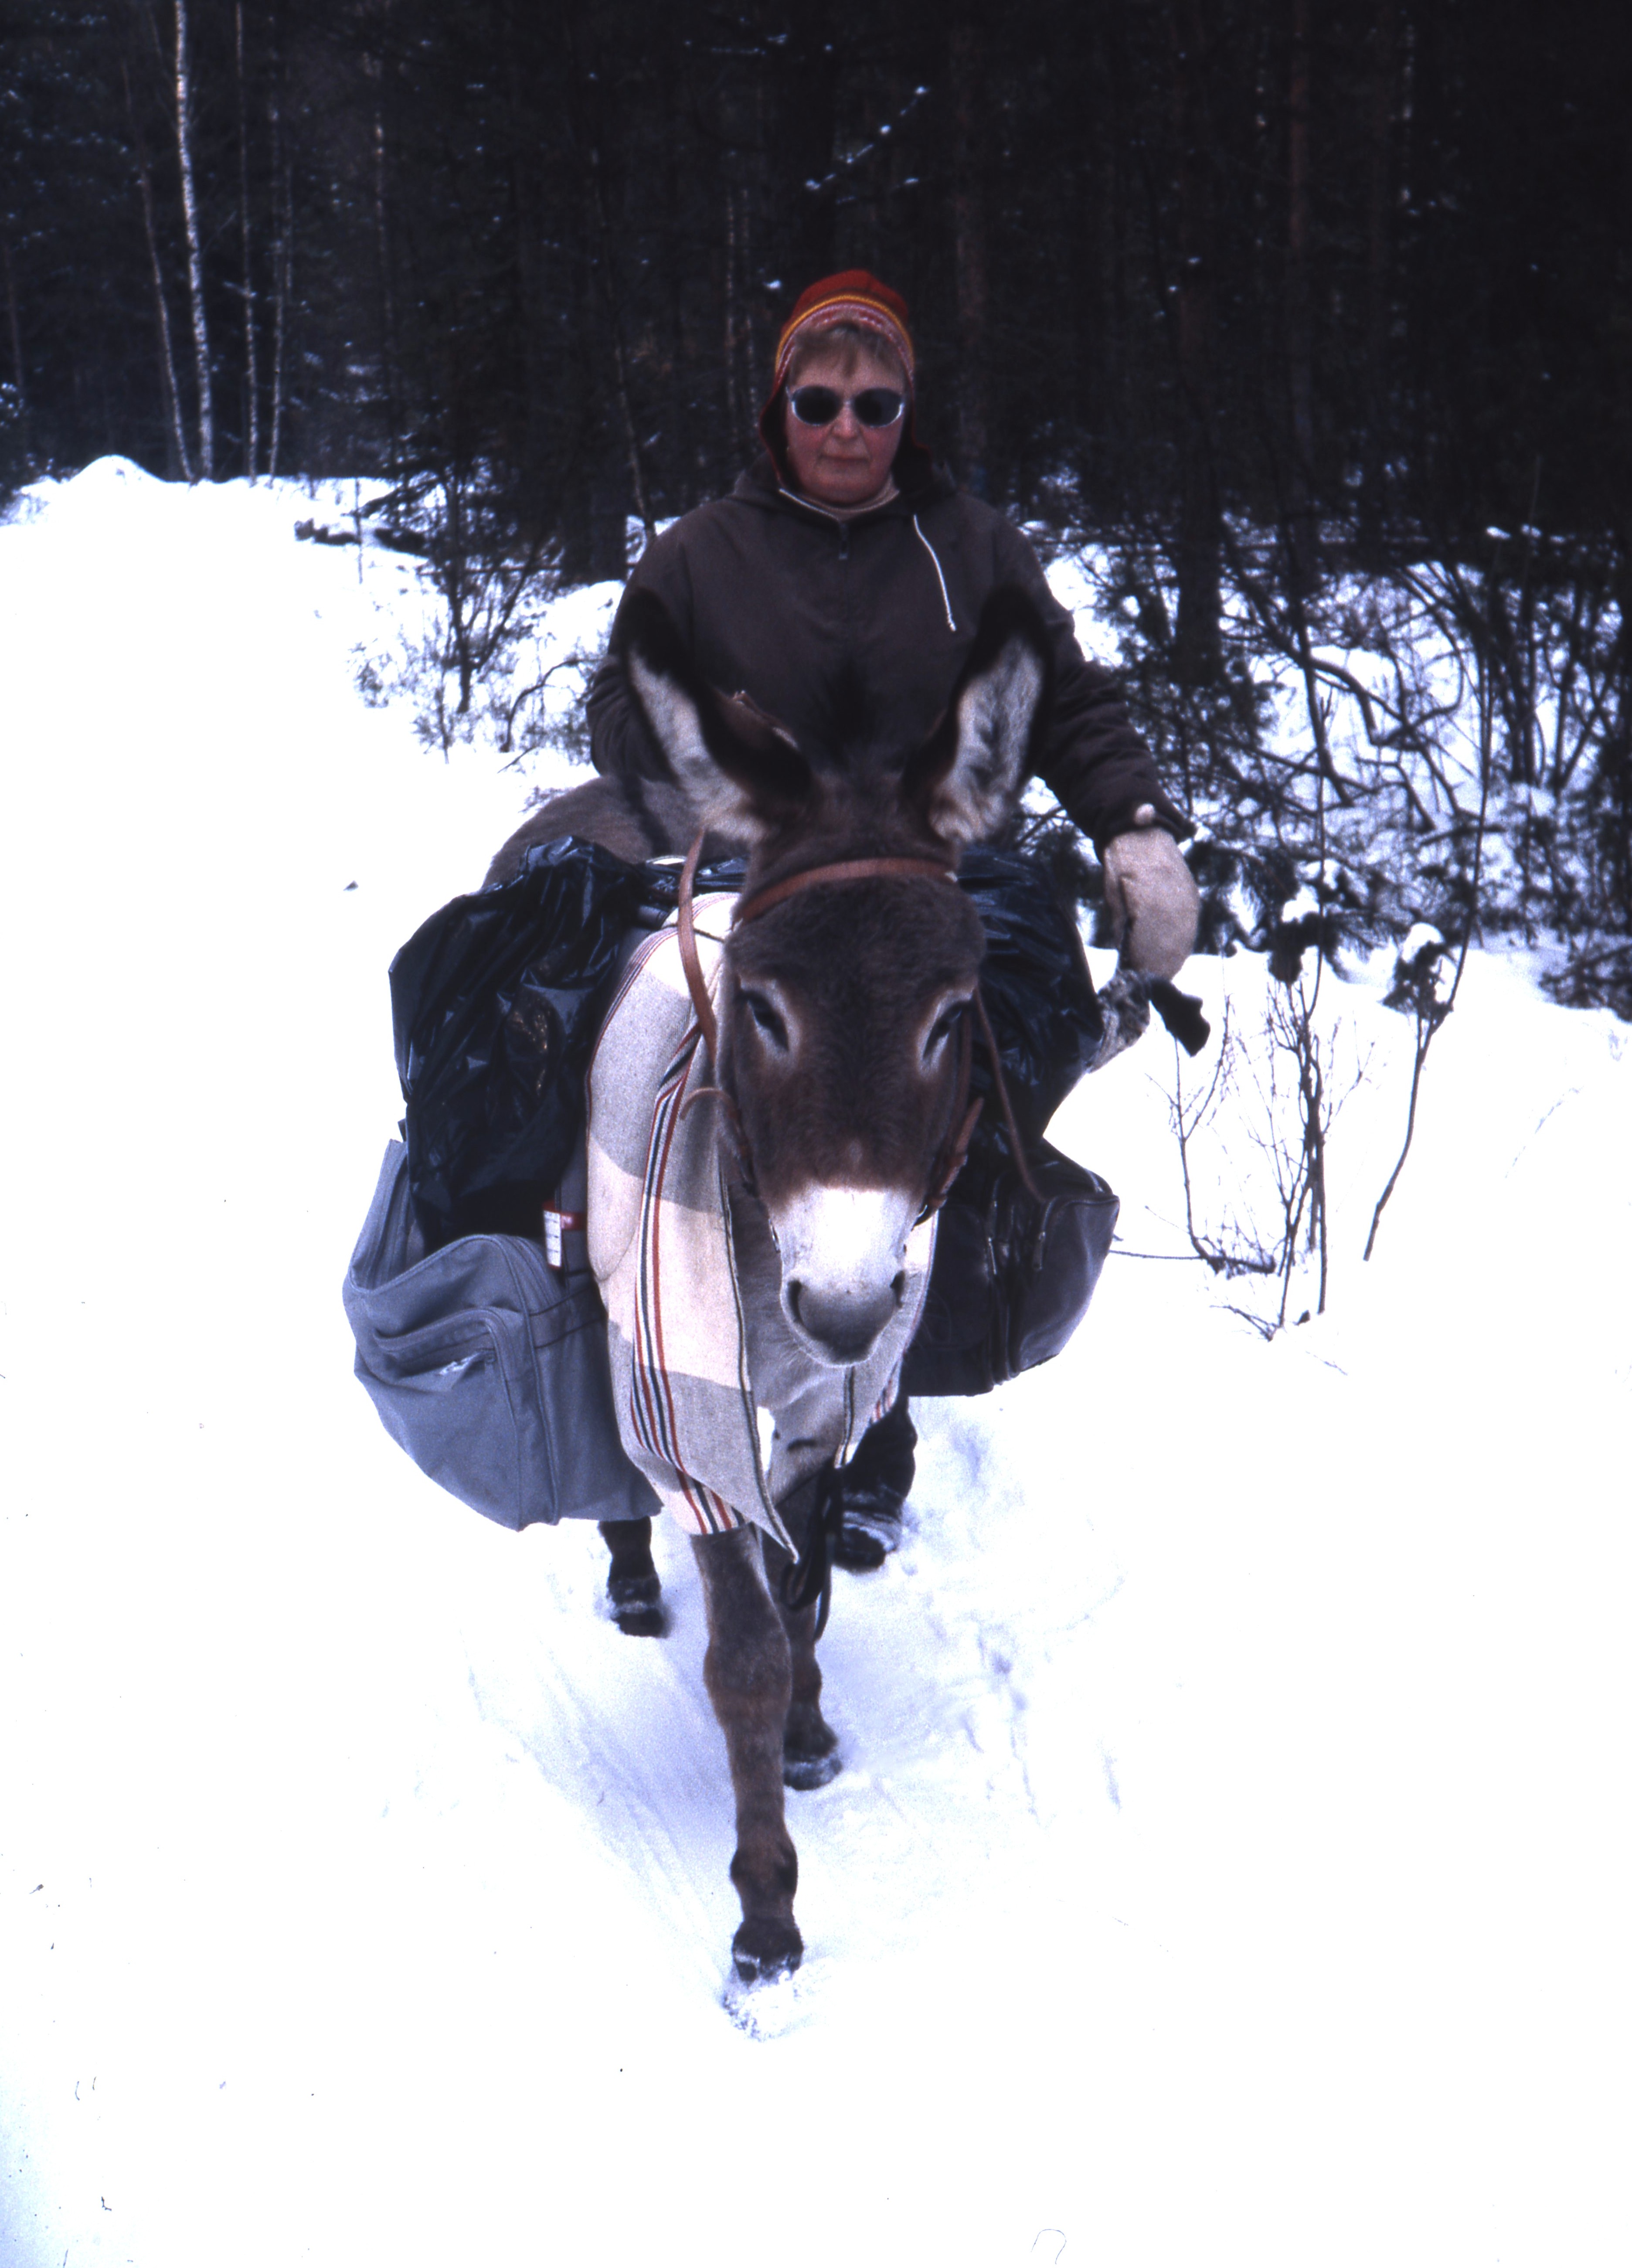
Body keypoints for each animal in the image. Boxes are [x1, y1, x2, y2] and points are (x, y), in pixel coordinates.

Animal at [484, 584, 1054, 1991]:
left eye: (951, 1015)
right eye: (764, 1008)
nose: (845, 1304)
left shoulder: (820, 1407)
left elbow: (799, 1605)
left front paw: (804, 1735)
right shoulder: (688, 1383)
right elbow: (739, 1647)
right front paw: (765, 1919)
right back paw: (634, 1581)